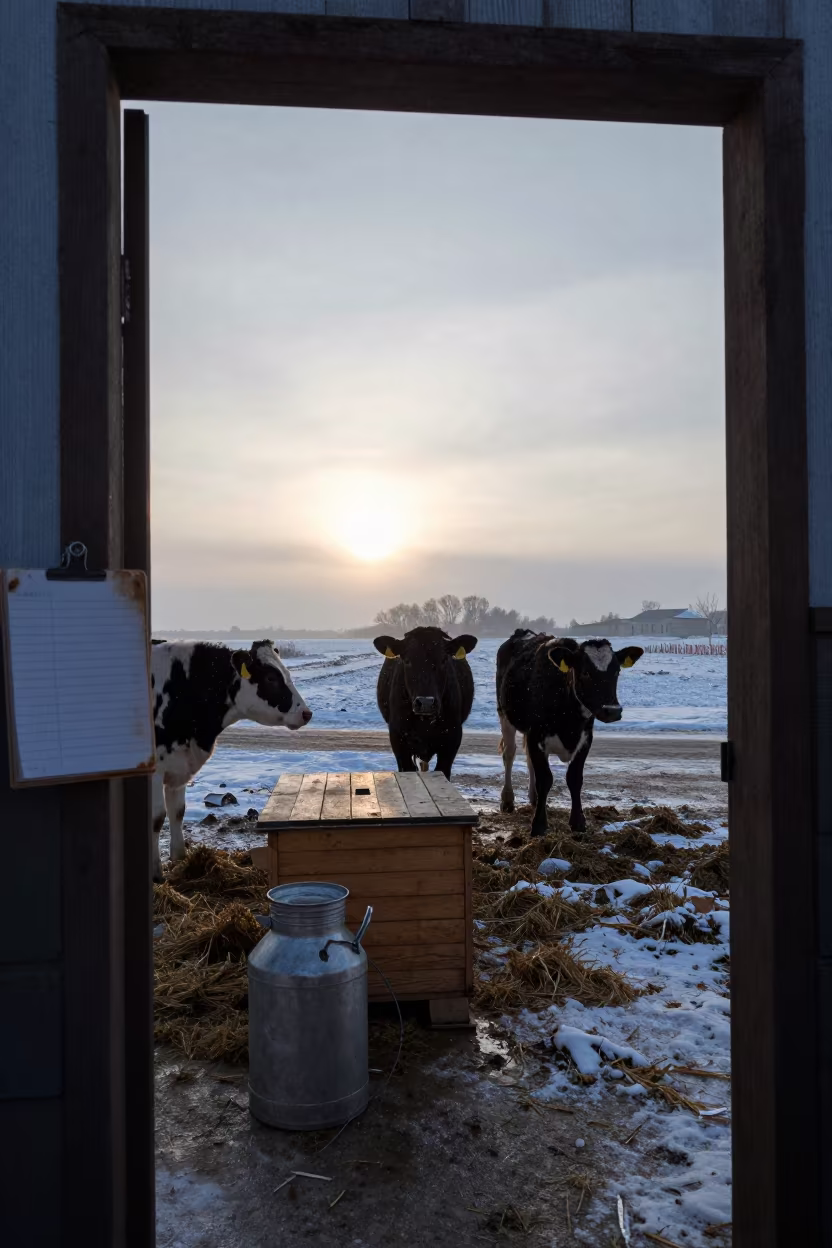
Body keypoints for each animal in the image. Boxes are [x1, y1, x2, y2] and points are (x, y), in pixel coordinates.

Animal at [151, 639, 312, 880]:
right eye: (270, 678)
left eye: (286, 672)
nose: (306, 713)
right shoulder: (154, 770)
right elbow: (157, 818)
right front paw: (155, 874)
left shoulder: (178, 764)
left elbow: (177, 812)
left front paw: (181, 861)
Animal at [496, 630, 643, 837]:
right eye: (586, 672)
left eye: (616, 672)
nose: (612, 711)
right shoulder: (535, 736)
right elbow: (545, 778)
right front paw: (539, 825)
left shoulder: (585, 738)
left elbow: (574, 778)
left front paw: (578, 822)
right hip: (504, 714)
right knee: (509, 753)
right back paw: (508, 799)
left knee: (528, 760)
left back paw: (534, 798)